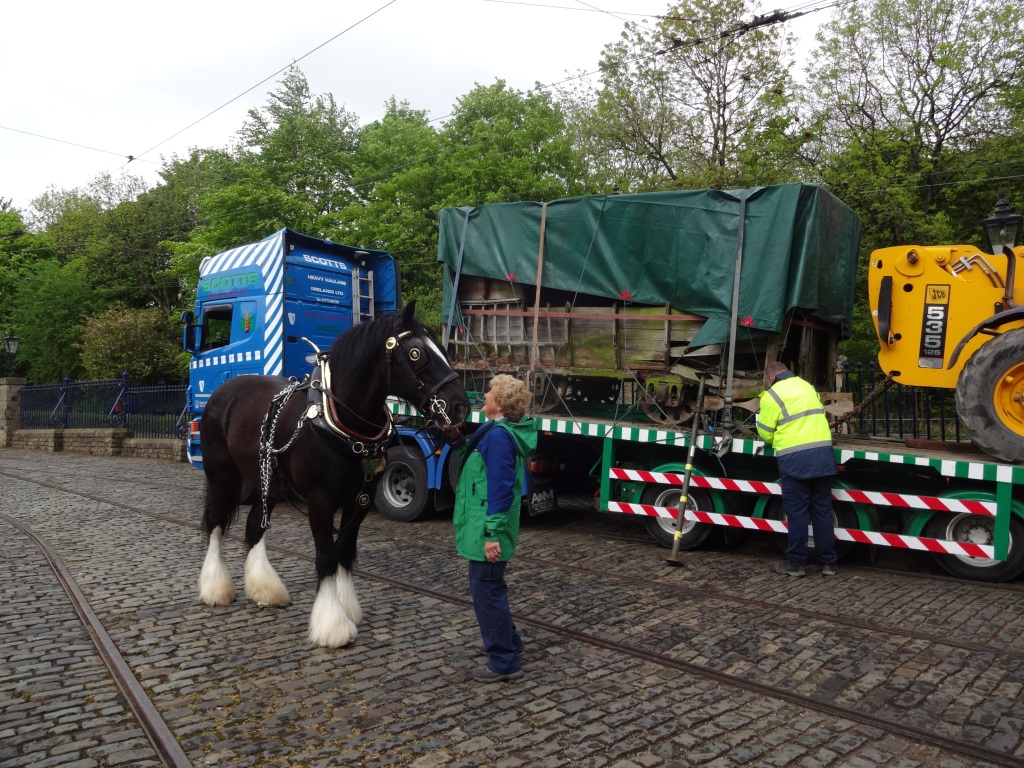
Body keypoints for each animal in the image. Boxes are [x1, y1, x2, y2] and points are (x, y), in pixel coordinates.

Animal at [197, 303, 468, 647]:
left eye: (442, 350)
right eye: (417, 353)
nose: (461, 407)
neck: (339, 421)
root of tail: (224, 390)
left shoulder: (360, 500)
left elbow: (345, 551)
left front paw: (348, 607)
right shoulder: (319, 501)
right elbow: (326, 555)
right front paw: (333, 624)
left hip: (266, 482)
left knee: (255, 525)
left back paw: (264, 588)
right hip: (222, 476)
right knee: (216, 523)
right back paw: (215, 587)